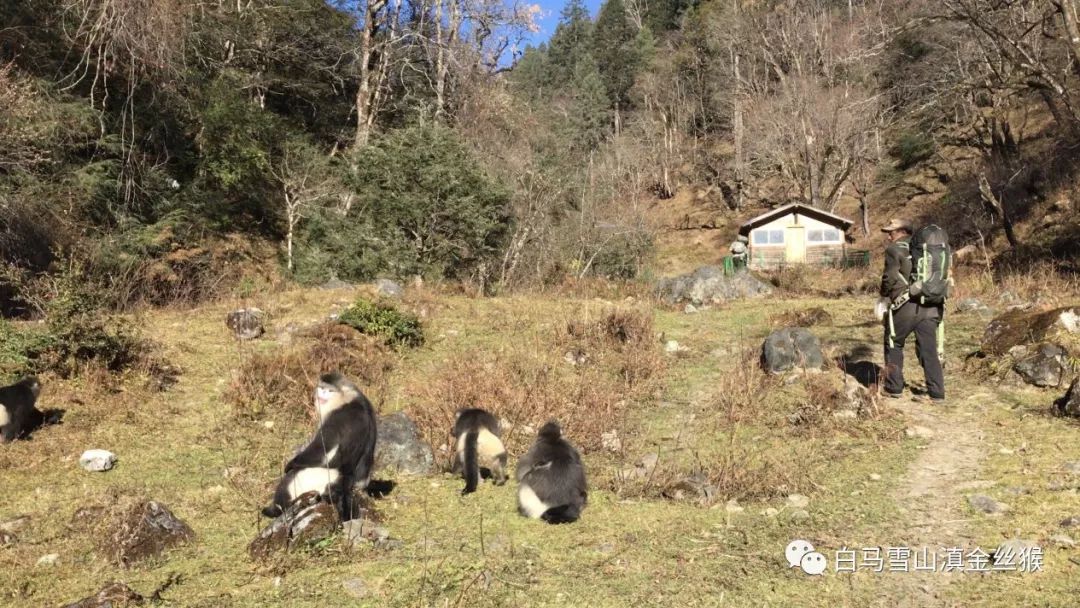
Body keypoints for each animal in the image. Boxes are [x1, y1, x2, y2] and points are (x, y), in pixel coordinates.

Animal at [262, 373, 378, 520]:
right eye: (322, 387)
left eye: (330, 390)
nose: (322, 392)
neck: (346, 400)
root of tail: (346, 482)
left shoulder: (337, 418)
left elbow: (321, 450)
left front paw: (289, 465)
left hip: (318, 478)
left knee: (290, 480)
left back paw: (273, 510)